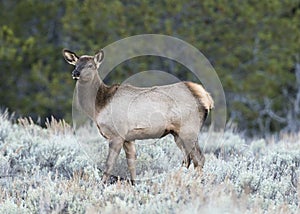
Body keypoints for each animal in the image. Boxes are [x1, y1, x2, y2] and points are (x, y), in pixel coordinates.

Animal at [62, 48, 213, 184]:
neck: (99, 106)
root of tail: (205, 97)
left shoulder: (116, 134)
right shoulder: (129, 138)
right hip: (177, 133)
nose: (75, 73)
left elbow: (109, 164)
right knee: (188, 159)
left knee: (199, 158)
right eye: (76, 64)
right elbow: (131, 164)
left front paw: (102, 185)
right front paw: (134, 184)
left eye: (90, 65)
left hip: (189, 129)